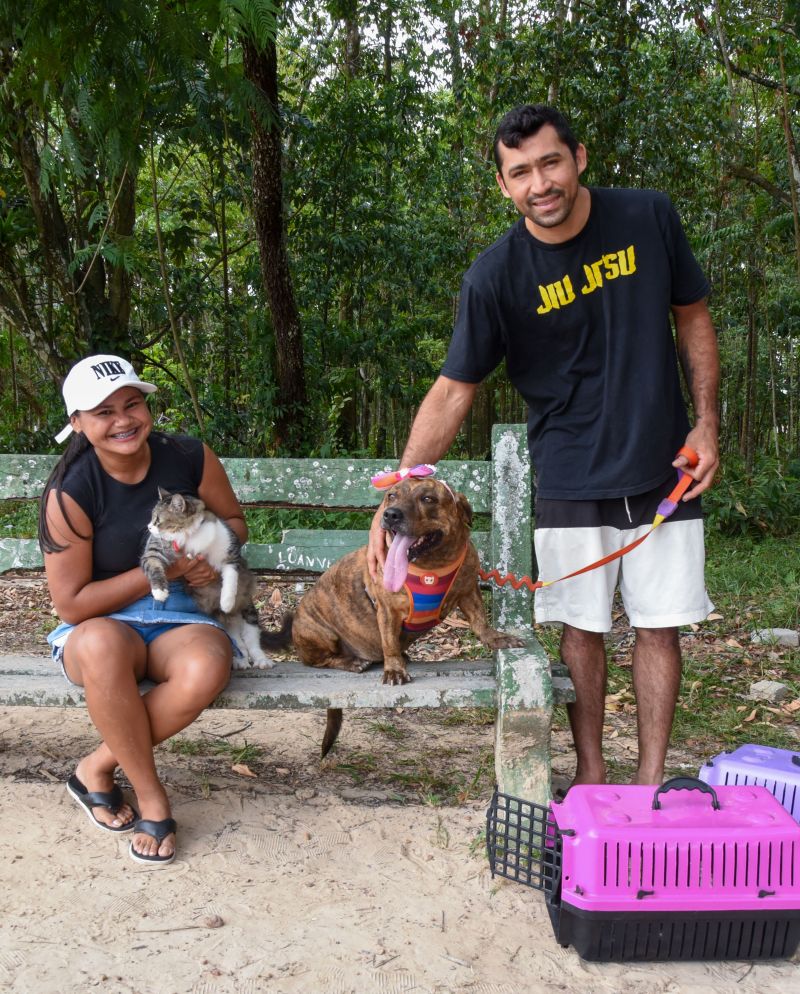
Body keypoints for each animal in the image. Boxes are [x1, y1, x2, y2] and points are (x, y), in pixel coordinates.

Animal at [144, 486, 278, 672]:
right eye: (152, 517)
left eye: (157, 520)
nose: (149, 527)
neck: (189, 537)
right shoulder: (154, 552)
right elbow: (154, 566)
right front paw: (159, 592)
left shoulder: (230, 555)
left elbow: (230, 580)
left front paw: (226, 602)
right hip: (227, 627)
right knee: (239, 645)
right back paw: (241, 661)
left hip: (247, 609)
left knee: (252, 640)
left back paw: (261, 660)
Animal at [262, 476, 524, 748]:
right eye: (391, 496)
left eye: (428, 498)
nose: (390, 514)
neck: (432, 566)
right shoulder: (387, 610)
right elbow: (389, 642)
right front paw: (395, 670)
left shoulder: (469, 589)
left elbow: (480, 621)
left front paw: (497, 638)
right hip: (321, 633)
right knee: (318, 660)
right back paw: (353, 661)